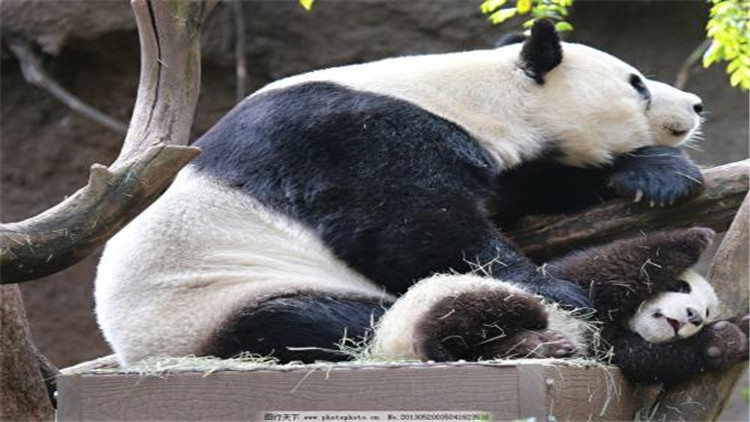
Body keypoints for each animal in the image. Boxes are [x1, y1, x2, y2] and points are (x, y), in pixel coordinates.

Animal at [94, 21, 704, 368]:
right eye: (637, 84)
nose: (696, 104)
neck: (471, 94)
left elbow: (518, 192)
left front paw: (657, 174)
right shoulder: (349, 137)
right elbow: (412, 227)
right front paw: (557, 290)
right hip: (218, 300)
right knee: (329, 323)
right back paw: (523, 337)